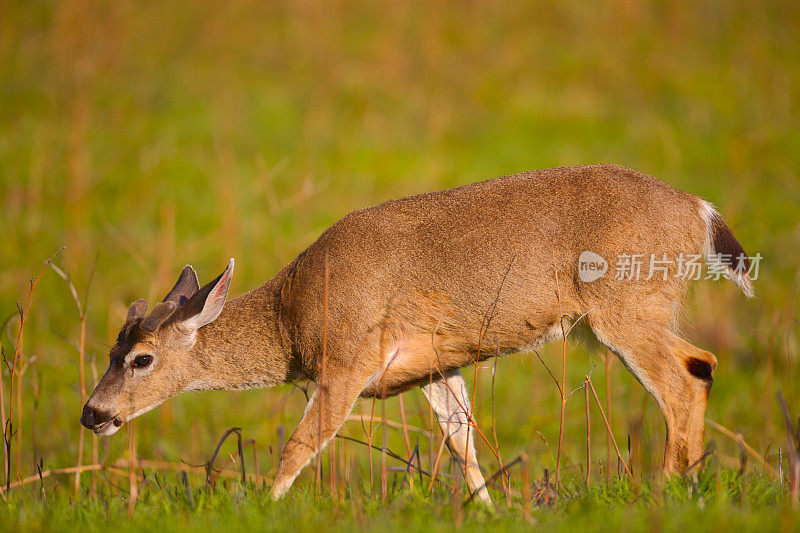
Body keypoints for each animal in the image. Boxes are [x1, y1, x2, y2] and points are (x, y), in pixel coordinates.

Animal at [78, 163, 752, 502]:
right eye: (111, 349)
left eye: (140, 359)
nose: (91, 413)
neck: (293, 317)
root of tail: (700, 211)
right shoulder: (431, 365)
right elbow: (463, 442)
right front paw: (489, 511)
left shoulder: (347, 360)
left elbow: (300, 446)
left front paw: (267, 508)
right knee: (700, 367)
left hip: (626, 306)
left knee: (690, 374)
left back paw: (668, 491)